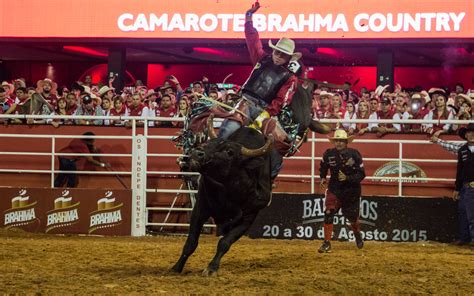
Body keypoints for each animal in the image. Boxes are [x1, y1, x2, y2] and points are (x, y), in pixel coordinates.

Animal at [172, 83, 332, 276]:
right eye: (211, 142)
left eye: (229, 152)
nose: (197, 154)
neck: (230, 189)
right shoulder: (201, 206)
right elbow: (191, 242)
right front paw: (177, 266)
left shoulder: (249, 217)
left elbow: (224, 243)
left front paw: (211, 268)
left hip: (302, 112)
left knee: (306, 118)